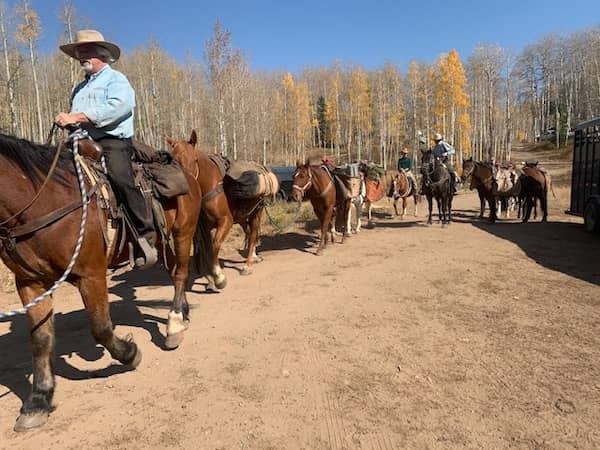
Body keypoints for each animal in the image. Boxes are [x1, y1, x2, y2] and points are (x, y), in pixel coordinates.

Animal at [0, 131, 211, 432]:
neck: (42, 200)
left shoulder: (91, 274)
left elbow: (101, 328)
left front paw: (130, 353)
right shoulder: (30, 283)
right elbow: (40, 339)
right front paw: (38, 401)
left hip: (183, 234)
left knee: (180, 274)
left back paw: (173, 326)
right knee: (174, 276)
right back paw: (182, 314)